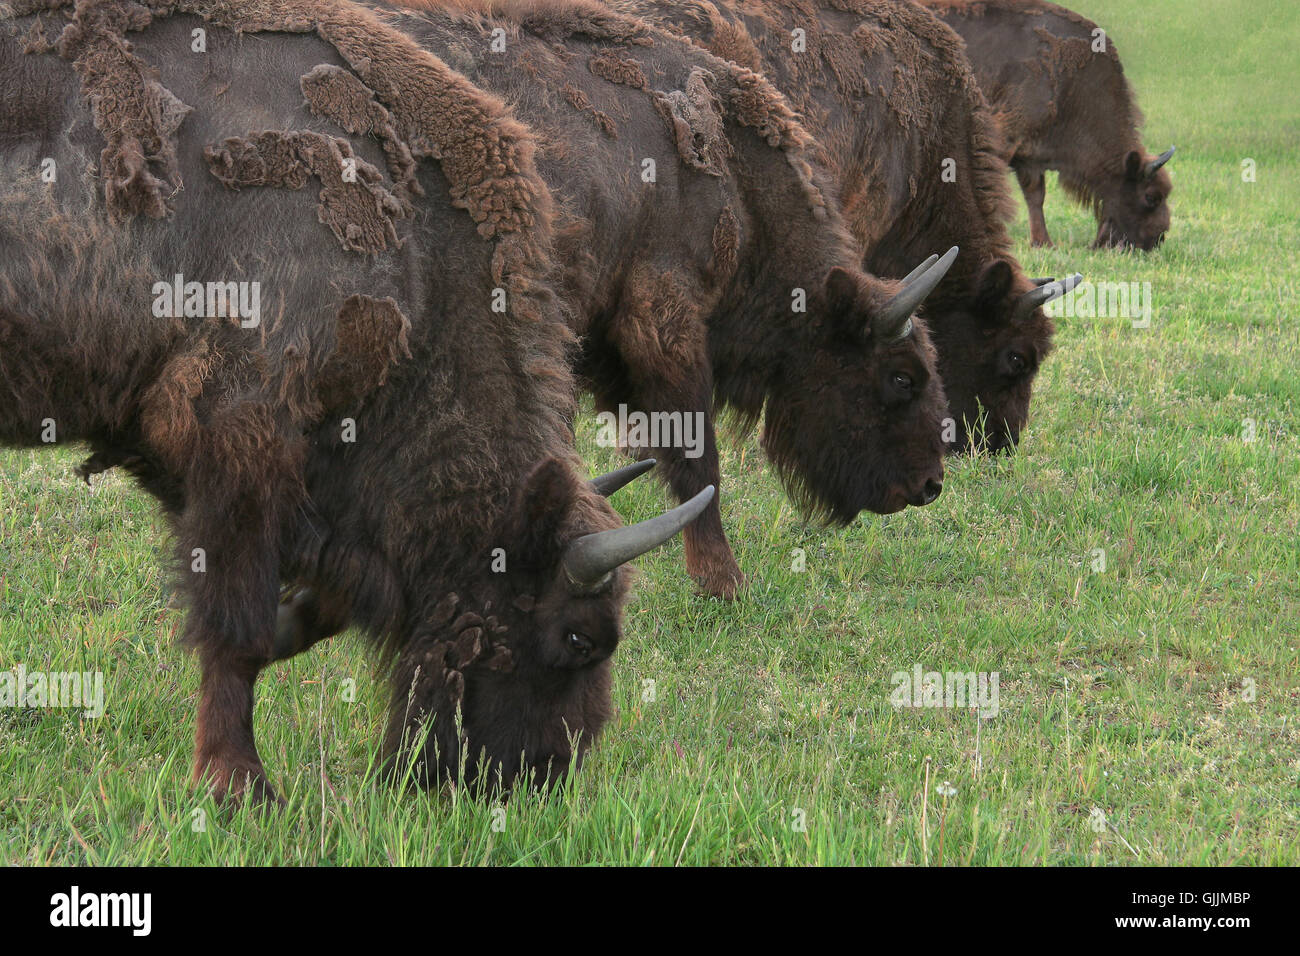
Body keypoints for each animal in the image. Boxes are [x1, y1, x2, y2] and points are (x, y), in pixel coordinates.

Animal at [2, 0, 712, 806]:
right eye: (578, 637)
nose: (539, 778)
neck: (418, 264)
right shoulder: (241, 446)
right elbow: (234, 631)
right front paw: (240, 787)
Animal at [366, 0, 956, 598]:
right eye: (901, 376)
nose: (930, 483)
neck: (736, 185)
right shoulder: (664, 327)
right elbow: (697, 460)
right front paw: (724, 582)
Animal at [925, 0, 1180, 251]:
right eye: (1151, 197)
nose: (1157, 239)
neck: (1069, 87)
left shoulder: (1029, 156)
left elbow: (1035, 196)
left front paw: (1043, 243)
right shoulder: (1003, 140)